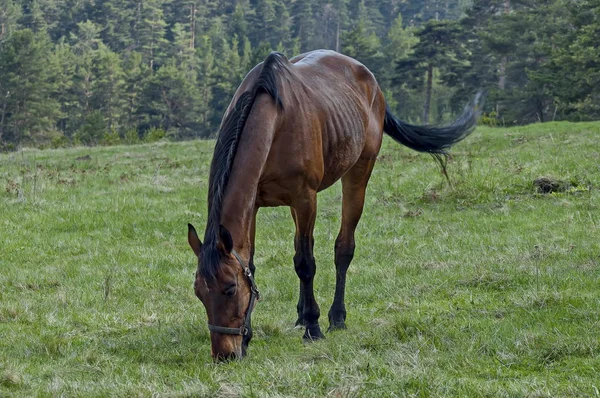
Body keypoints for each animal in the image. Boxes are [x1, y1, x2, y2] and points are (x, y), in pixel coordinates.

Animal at [186, 49, 478, 360]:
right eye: (199, 292)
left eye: (229, 289)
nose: (224, 354)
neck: (275, 119)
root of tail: (369, 79)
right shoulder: (254, 205)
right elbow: (252, 262)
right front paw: (253, 335)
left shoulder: (305, 198)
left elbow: (305, 263)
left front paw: (313, 328)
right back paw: (301, 314)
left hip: (358, 174)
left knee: (343, 248)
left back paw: (336, 317)